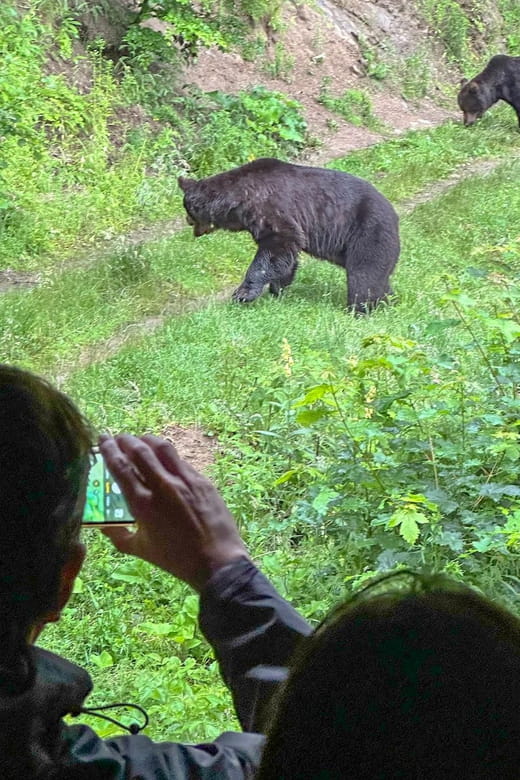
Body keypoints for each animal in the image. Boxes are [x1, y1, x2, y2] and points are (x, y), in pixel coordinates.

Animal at [178, 158, 400, 313]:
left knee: (364, 274)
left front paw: (243, 294)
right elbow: (285, 257)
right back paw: (388, 300)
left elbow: (279, 245)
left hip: (368, 232)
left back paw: (361, 308)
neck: (240, 201)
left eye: (189, 210)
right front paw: (277, 289)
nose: (188, 221)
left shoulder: (272, 210)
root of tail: (395, 217)